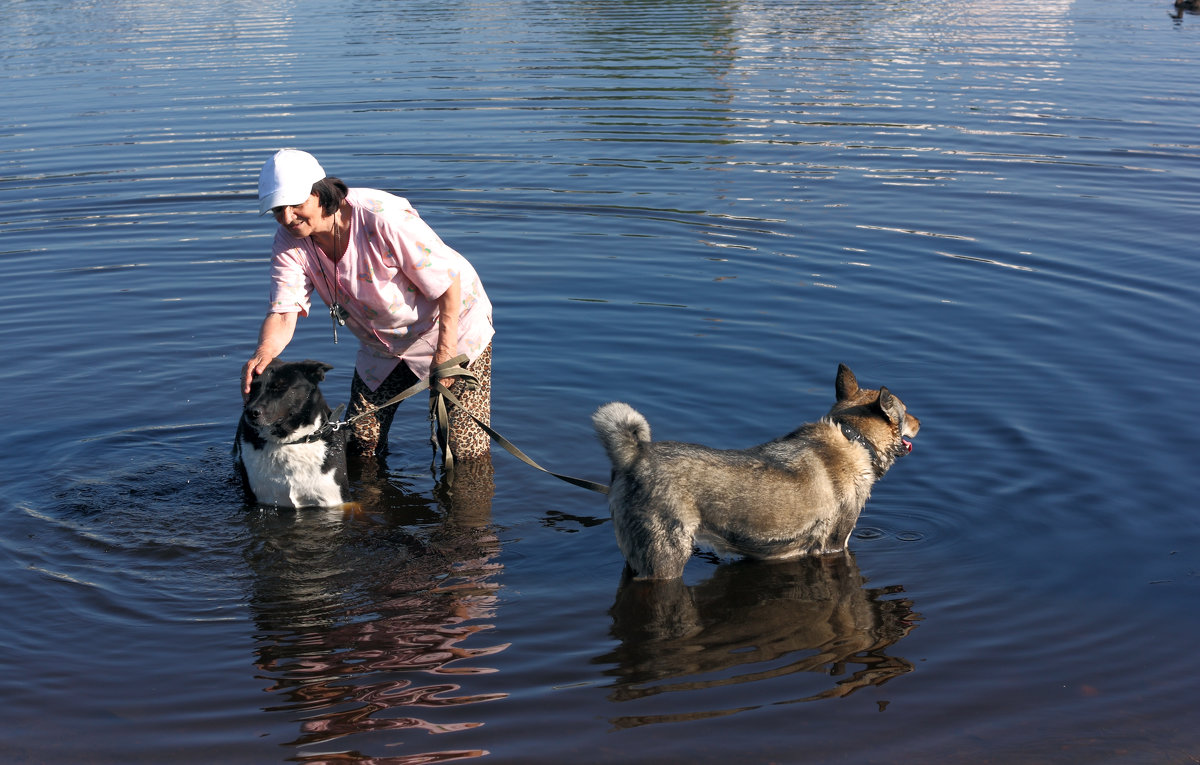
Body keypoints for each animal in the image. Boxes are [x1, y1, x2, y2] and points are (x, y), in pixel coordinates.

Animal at [590, 364, 916, 580]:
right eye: (906, 411)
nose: (920, 422)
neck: (853, 437)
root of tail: (633, 455)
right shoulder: (835, 545)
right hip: (665, 561)